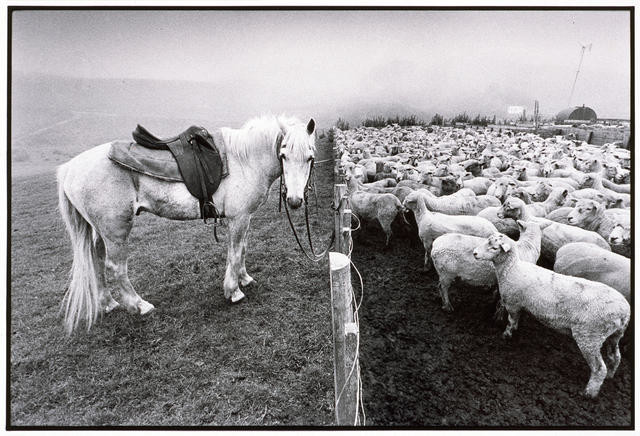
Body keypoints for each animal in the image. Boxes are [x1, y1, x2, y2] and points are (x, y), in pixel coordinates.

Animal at [57, 115, 318, 334]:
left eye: (310, 157)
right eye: (283, 155)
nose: (295, 201)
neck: (244, 160)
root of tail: (68, 169)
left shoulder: (245, 218)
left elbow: (242, 249)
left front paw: (244, 278)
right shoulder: (239, 218)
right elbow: (235, 253)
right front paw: (233, 291)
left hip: (100, 231)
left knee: (97, 259)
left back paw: (108, 303)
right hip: (115, 230)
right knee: (115, 267)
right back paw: (139, 305)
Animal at [472, 235, 628, 398]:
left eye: (494, 247)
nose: (474, 253)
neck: (512, 269)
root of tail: (624, 311)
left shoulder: (513, 303)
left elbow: (511, 321)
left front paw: (506, 336)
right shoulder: (519, 304)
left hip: (590, 335)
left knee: (599, 368)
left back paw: (589, 393)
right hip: (614, 335)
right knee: (615, 357)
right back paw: (610, 375)